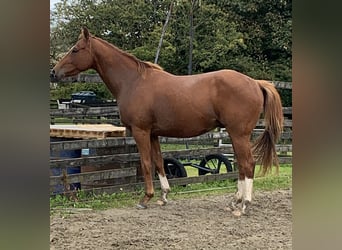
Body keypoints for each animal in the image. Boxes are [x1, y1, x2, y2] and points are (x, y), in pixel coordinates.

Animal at [50, 26, 284, 215]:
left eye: (75, 49)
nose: (54, 72)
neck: (133, 81)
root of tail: (255, 83)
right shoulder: (153, 134)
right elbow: (159, 162)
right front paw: (163, 196)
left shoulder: (141, 131)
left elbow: (145, 163)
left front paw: (145, 198)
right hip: (236, 136)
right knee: (242, 166)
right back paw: (234, 202)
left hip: (239, 134)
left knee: (248, 164)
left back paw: (243, 206)